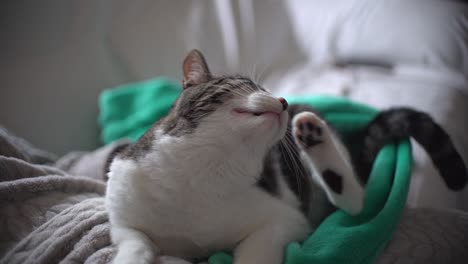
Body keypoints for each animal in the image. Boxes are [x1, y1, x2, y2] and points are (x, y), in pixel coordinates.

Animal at [106, 49, 468, 264]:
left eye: (266, 87)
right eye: (250, 84)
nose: (282, 100)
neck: (201, 172)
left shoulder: (285, 217)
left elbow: (256, 251)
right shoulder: (121, 206)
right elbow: (134, 242)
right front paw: (131, 257)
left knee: (355, 202)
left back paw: (312, 134)